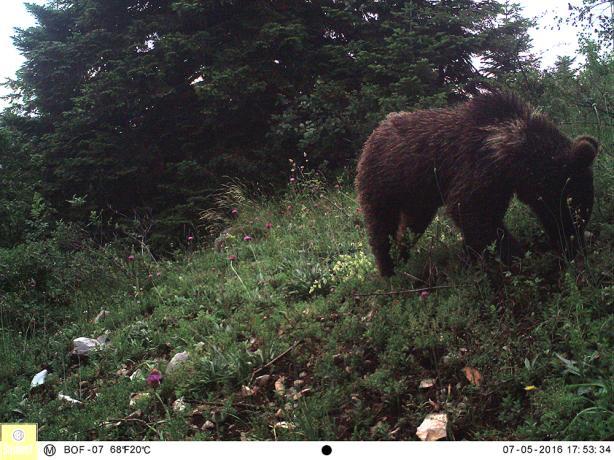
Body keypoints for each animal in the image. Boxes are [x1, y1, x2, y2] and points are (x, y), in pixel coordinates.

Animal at [356, 91, 600, 274]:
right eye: (573, 203)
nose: (573, 244)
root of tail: (373, 134)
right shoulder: (479, 168)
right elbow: (472, 211)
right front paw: (518, 256)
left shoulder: (500, 183)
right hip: (384, 181)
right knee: (381, 225)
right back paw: (389, 268)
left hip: (418, 195)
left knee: (412, 224)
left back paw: (403, 252)